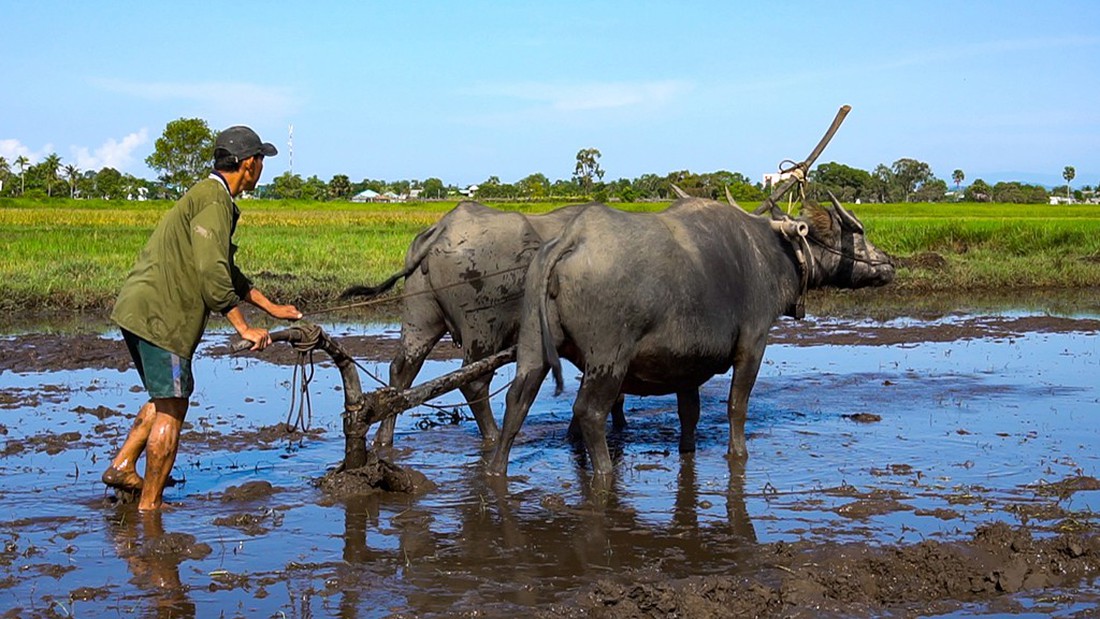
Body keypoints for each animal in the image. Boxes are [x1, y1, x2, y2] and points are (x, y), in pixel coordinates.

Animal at [341, 201, 620, 448]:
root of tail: (443, 227)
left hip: (419, 317)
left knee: (402, 372)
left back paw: (383, 438)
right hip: (483, 328)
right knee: (473, 382)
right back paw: (493, 436)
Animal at [488, 195, 893, 477]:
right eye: (859, 236)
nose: (889, 263)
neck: (775, 253)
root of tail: (571, 239)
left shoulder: (686, 364)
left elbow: (690, 413)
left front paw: (688, 449)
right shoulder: (753, 344)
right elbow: (736, 406)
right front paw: (738, 452)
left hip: (532, 349)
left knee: (516, 401)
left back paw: (496, 469)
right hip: (608, 360)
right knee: (589, 413)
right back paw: (603, 471)